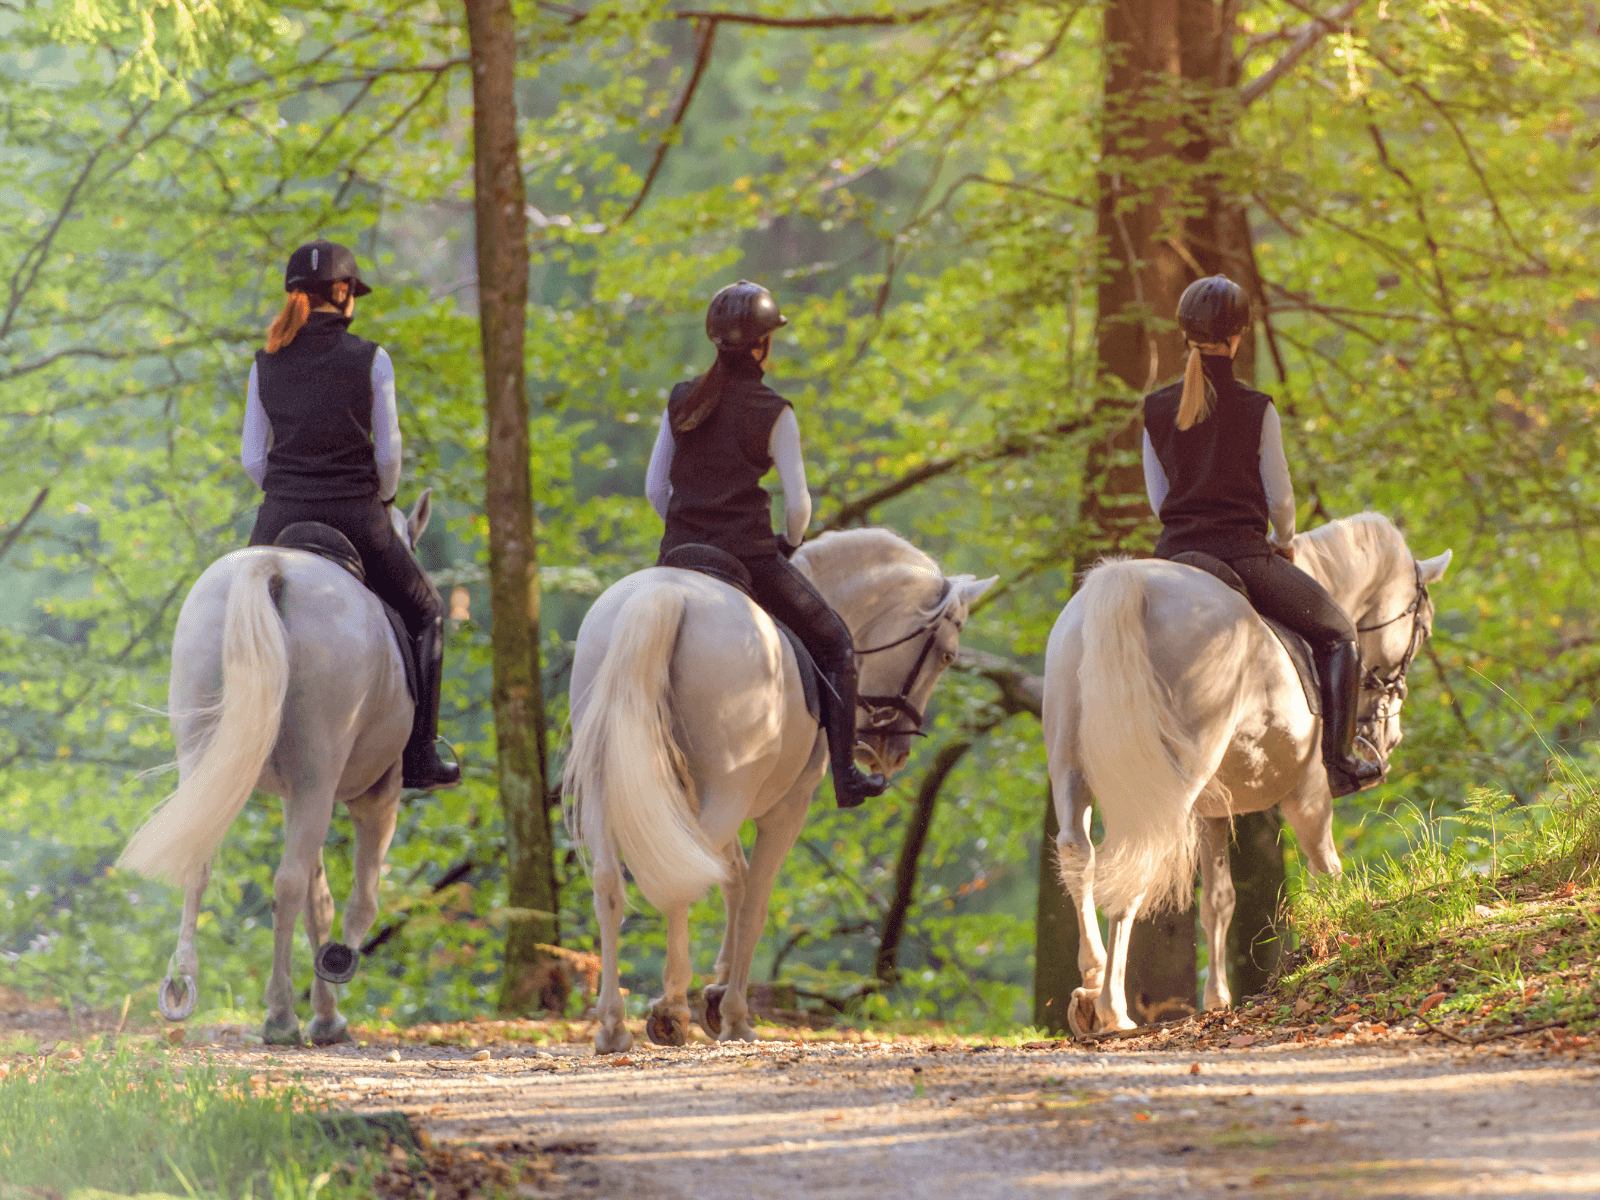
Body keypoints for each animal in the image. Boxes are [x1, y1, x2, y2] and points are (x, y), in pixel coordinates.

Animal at [121, 492, 438, 1049]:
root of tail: (270, 566)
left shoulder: (295, 795)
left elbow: (320, 900)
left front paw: (327, 1012)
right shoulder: (376, 792)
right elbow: (356, 900)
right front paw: (332, 988)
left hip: (208, 760)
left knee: (203, 861)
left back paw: (182, 987)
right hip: (320, 775)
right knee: (288, 884)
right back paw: (281, 1017)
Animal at [563, 531, 985, 1056]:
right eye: (946, 656)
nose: (894, 754)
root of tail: (666, 595)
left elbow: (734, 881)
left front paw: (718, 990)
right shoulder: (785, 808)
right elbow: (753, 903)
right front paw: (733, 1012)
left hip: (611, 785)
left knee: (611, 884)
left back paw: (613, 1025)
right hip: (726, 788)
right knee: (682, 879)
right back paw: (671, 1011)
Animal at [1043, 512, 1459, 1036]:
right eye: (1423, 628)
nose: (1388, 740)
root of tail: (1128, 585)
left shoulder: (1211, 810)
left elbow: (1219, 901)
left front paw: (1217, 1000)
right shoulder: (1309, 793)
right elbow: (1326, 870)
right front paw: (1336, 940)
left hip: (1071, 767)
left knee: (1079, 853)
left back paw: (1091, 987)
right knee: (1136, 863)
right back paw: (1112, 1008)